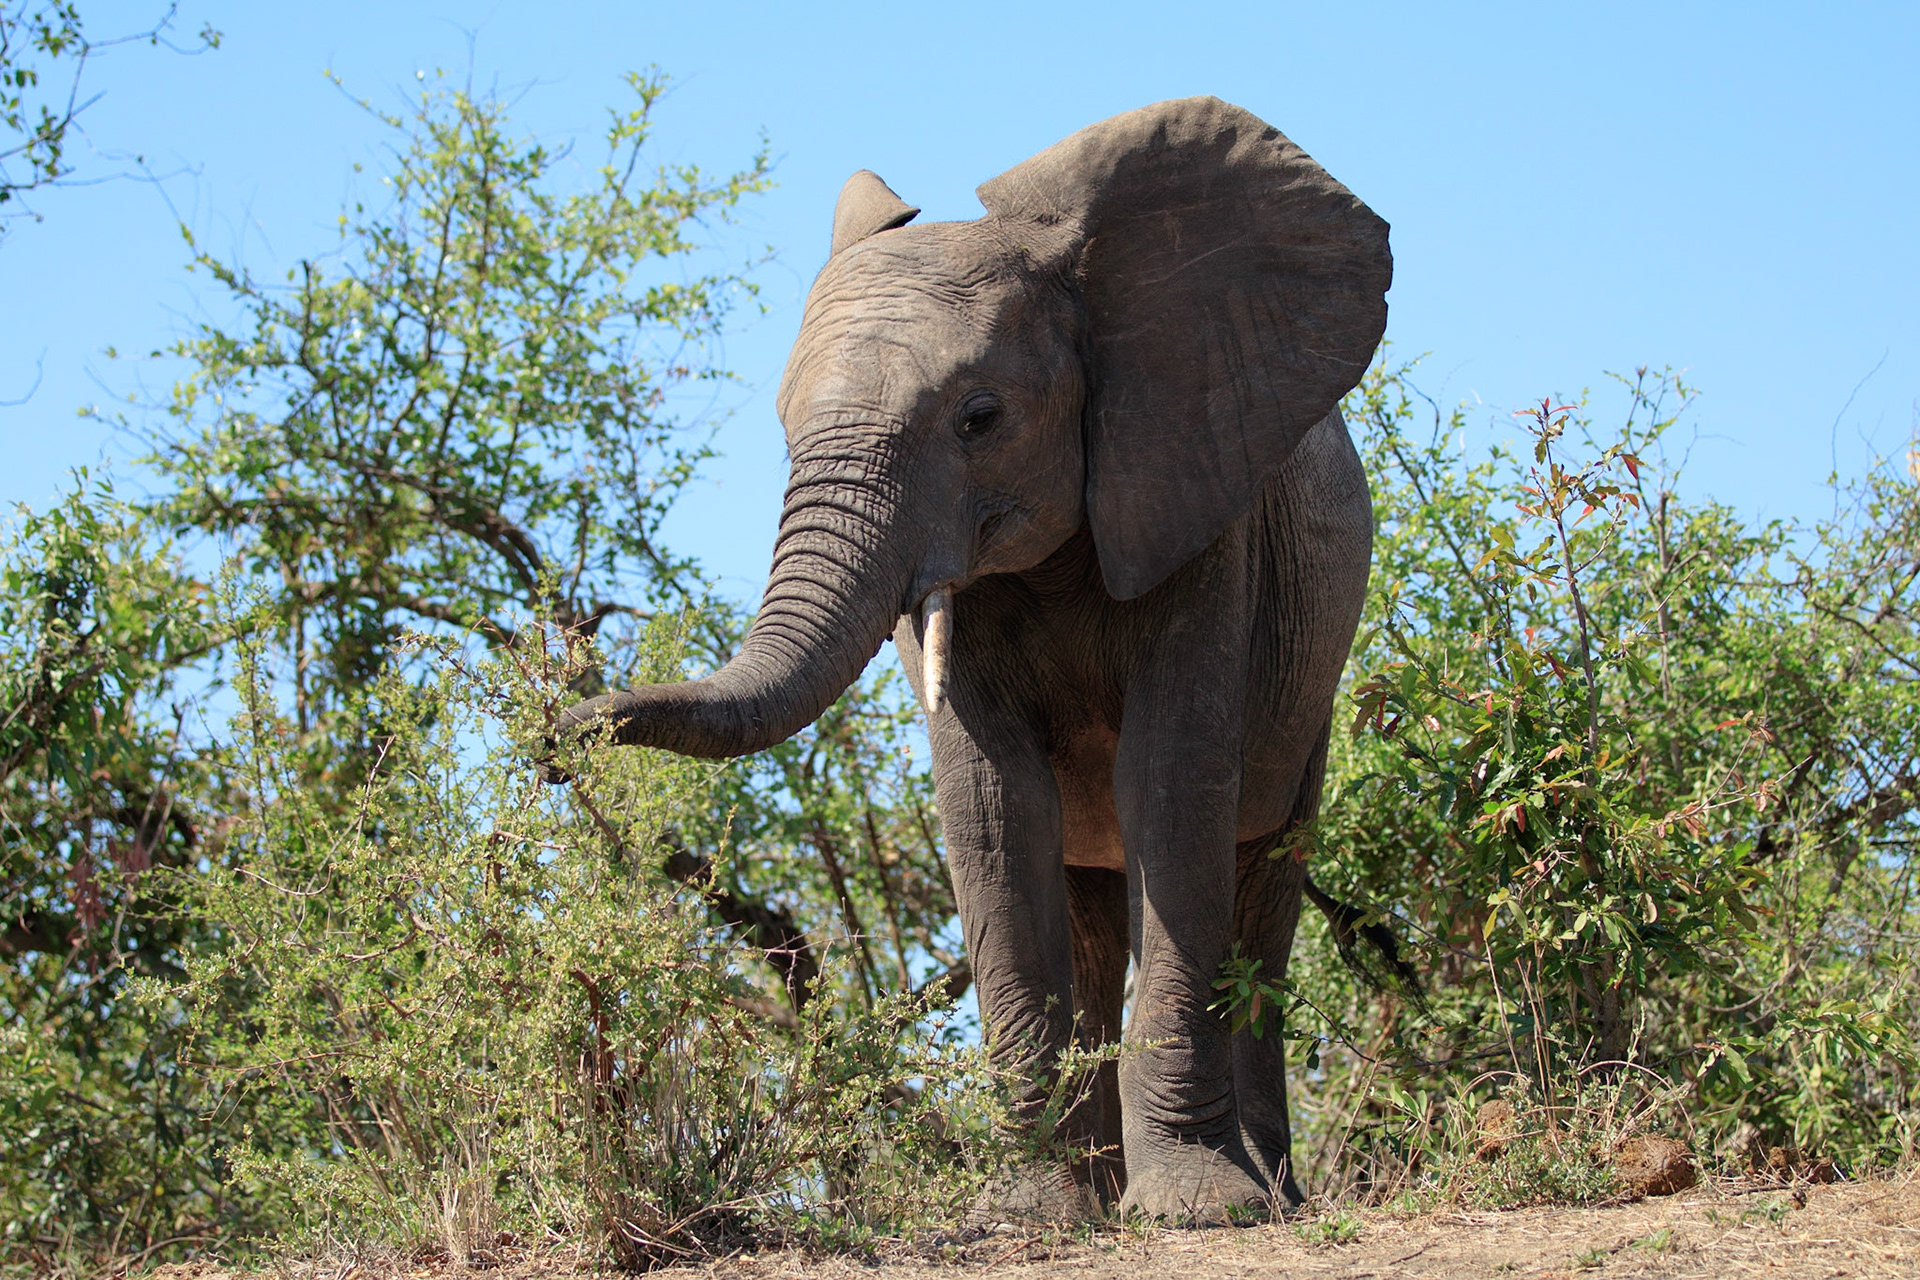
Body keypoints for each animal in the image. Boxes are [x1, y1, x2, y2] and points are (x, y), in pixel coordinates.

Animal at [557, 96, 1392, 1223]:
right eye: (782, 429)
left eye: (981, 419)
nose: (555, 739)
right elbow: (994, 807)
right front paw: (1029, 1214)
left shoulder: (1197, 505)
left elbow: (1172, 784)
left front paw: (1201, 1209)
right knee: (1089, 912)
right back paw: (1104, 1191)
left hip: (1311, 682)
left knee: (1262, 875)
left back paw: (1271, 1192)